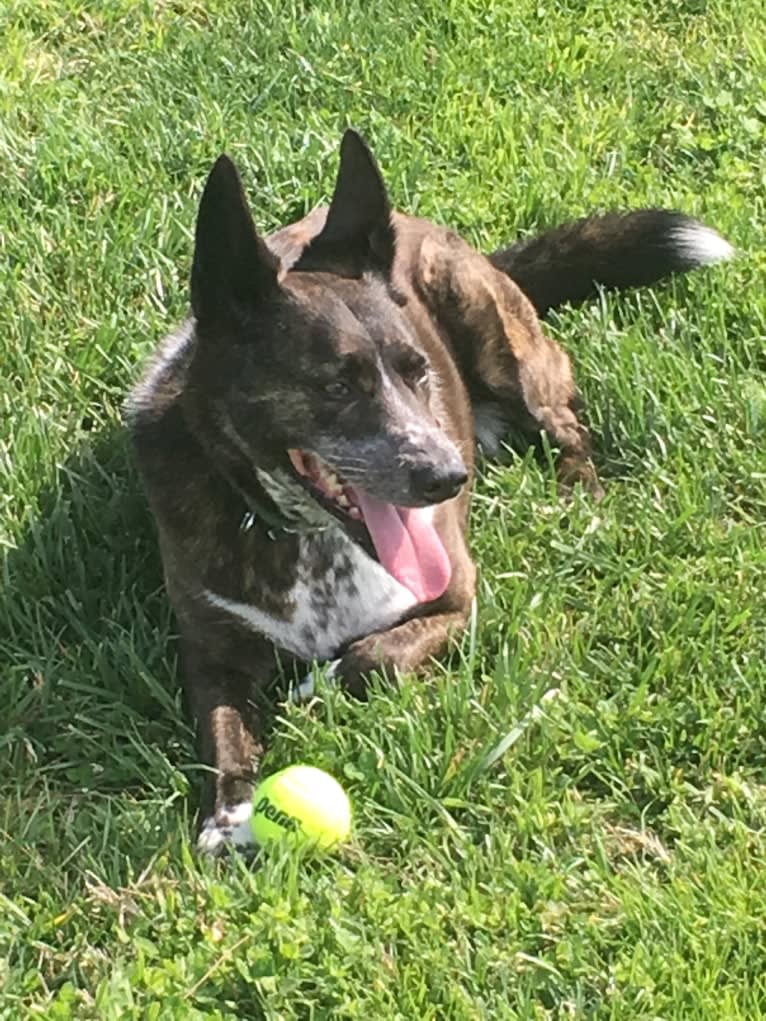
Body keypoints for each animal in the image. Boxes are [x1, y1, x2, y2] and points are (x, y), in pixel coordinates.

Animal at [126, 131, 731, 857]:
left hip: (500, 339)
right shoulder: (209, 651)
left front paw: (321, 684)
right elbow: (222, 733)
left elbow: (376, 658)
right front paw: (228, 815)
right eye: (336, 385)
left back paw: (574, 494)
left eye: (418, 371)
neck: (306, 542)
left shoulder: (458, 600)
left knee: (567, 420)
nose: (448, 476)